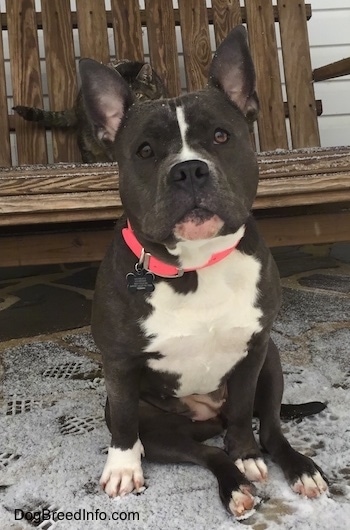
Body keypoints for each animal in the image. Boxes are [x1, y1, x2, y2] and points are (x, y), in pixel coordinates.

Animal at [79, 26, 328, 516]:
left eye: (220, 136)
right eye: (145, 151)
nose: (189, 170)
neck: (195, 264)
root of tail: (206, 417)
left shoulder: (253, 351)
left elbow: (244, 413)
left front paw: (247, 452)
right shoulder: (118, 364)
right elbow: (124, 422)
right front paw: (122, 468)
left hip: (272, 363)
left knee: (269, 428)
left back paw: (295, 467)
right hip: (162, 431)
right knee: (204, 452)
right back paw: (232, 485)